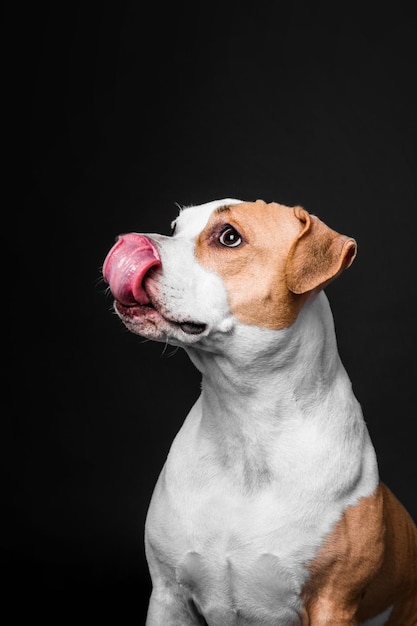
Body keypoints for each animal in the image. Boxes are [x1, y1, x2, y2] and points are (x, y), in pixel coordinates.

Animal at [101, 200, 416, 624]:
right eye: (176, 226)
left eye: (229, 237)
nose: (128, 241)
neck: (243, 417)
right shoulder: (168, 596)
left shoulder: (333, 602)